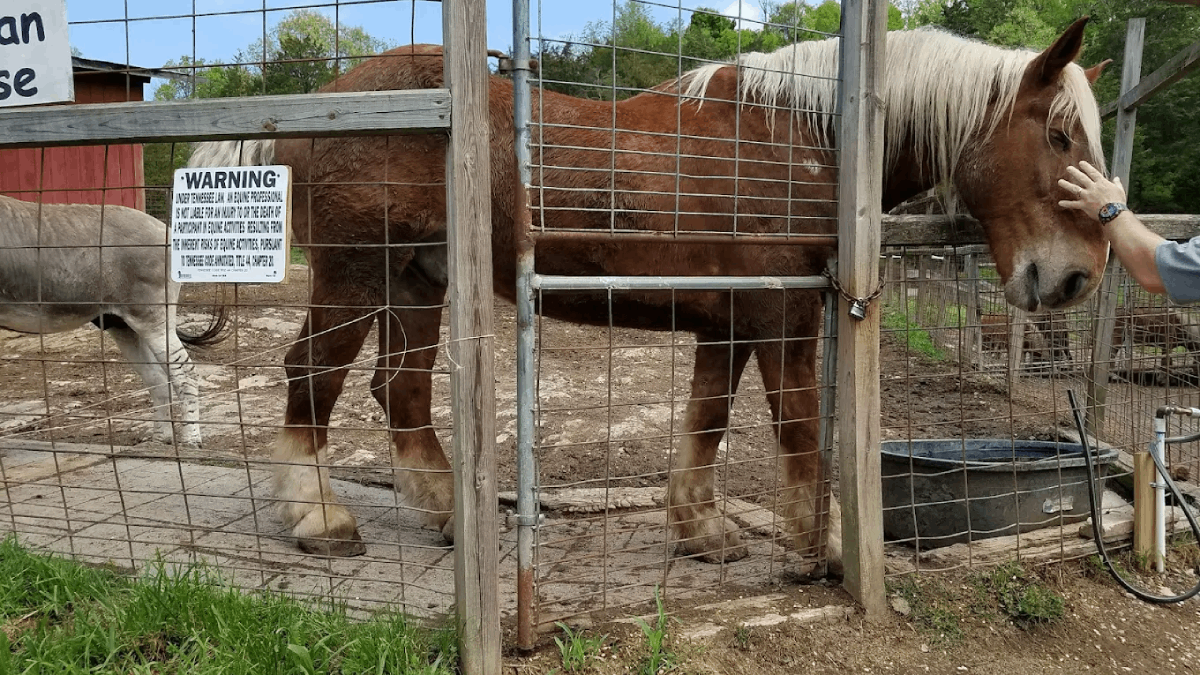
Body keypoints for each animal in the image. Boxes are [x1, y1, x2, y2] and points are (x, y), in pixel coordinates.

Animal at [0, 194, 227, 447]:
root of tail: (162, 227)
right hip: (122, 324)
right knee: (156, 377)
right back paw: (159, 440)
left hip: (152, 318)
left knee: (184, 373)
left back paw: (191, 440)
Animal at [189, 18, 1111, 566]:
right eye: (1060, 137)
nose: (1078, 276)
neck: (801, 137)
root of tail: (324, 104)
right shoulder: (782, 315)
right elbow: (799, 430)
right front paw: (818, 549)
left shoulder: (729, 322)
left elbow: (706, 420)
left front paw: (701, 530)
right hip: (353, 273)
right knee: (314, 377)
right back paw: (320, 517)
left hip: (415, 280)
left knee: (400, 391)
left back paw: (450, 512)